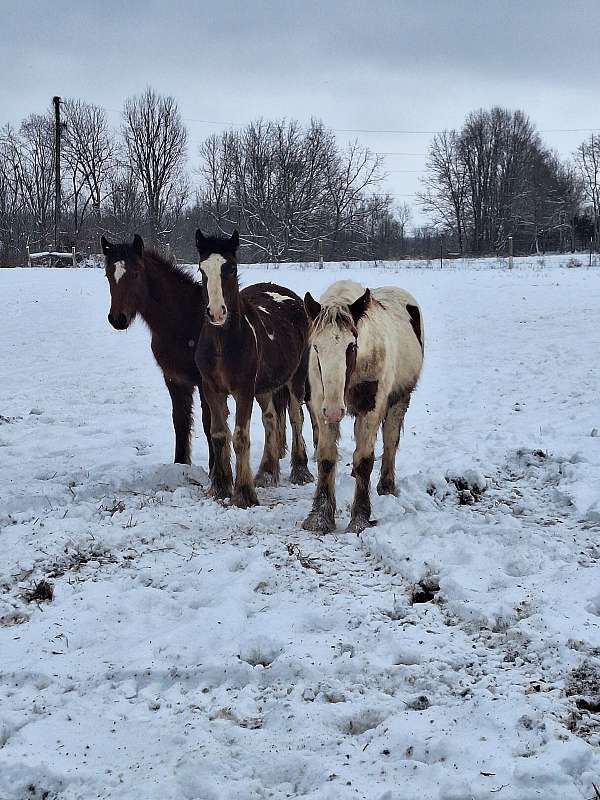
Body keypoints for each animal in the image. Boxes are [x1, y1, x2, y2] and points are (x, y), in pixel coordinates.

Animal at [195, 228, 312, 510]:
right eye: (202, 269)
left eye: (231, 267)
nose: (216, 312)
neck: (222, 345)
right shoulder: (211, 388)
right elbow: (218, 434)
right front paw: (220, 487)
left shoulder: (244, 390)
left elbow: (239, 436)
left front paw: (243, 493)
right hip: (265, 388)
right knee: (271, 419)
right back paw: (266, 472)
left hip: (296, 379)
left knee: (295, 418)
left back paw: (300, 470)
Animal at [302, 278, 424, 536]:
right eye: (316, 347)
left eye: (351, 346)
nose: (335, 410)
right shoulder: (321, 406)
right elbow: (326, 458)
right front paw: (320, 518)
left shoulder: (371, 409)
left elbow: (364, 460)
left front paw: (360, 518)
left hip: (399, 401)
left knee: (390, 441)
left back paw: (387, 485)